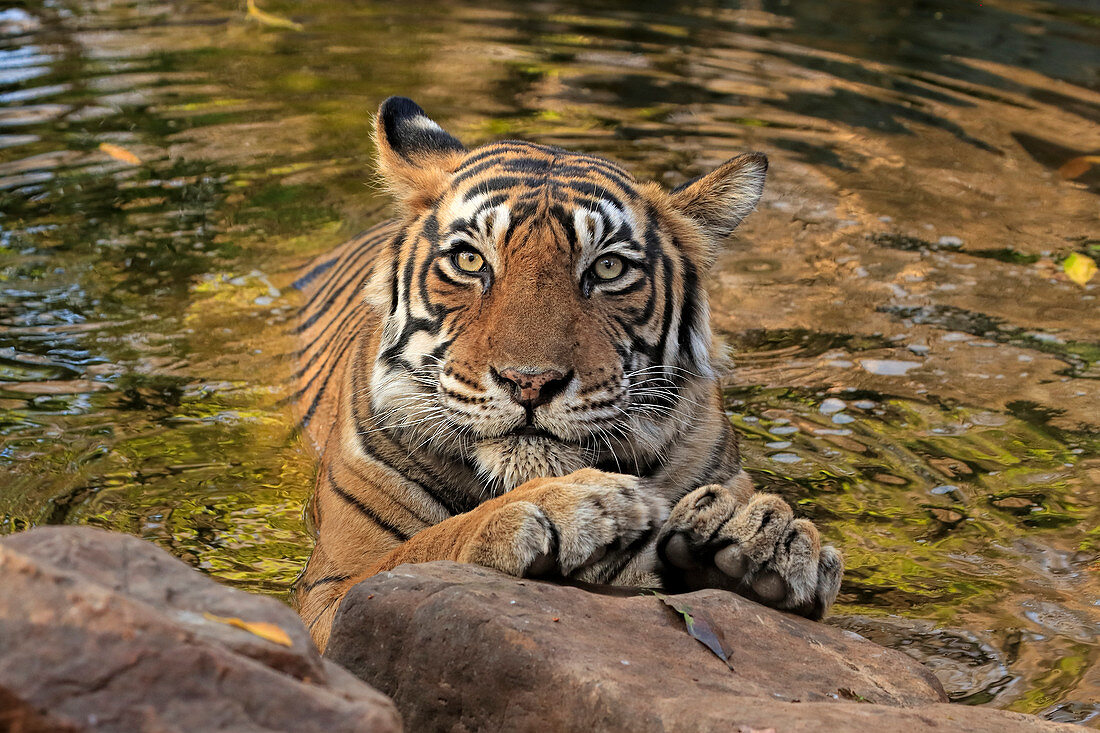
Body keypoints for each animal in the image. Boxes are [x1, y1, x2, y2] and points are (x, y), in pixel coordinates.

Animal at [290, 94, 840, 647]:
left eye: (608, 268)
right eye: (470, 260)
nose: (529, 382)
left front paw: (764, 537)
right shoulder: (330, 594)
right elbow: (427, 545)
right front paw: (567, 508)